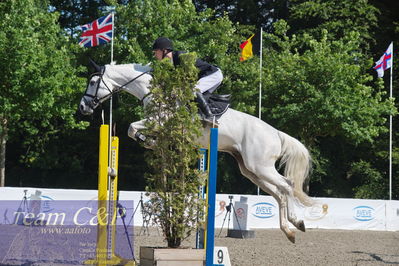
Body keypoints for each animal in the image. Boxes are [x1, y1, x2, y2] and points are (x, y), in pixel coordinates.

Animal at [79, 62, 316, 243]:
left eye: (93, 82)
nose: (83, 107)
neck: (153, 91)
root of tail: (276, 133)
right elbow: (133, 129)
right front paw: (150, 141)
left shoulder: (160, 121)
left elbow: (131, 127)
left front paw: (148, 141)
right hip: (250, 169)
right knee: (278, 193)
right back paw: (291, 230)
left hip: (260, 166)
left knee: (287, 186)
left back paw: (296, 222)